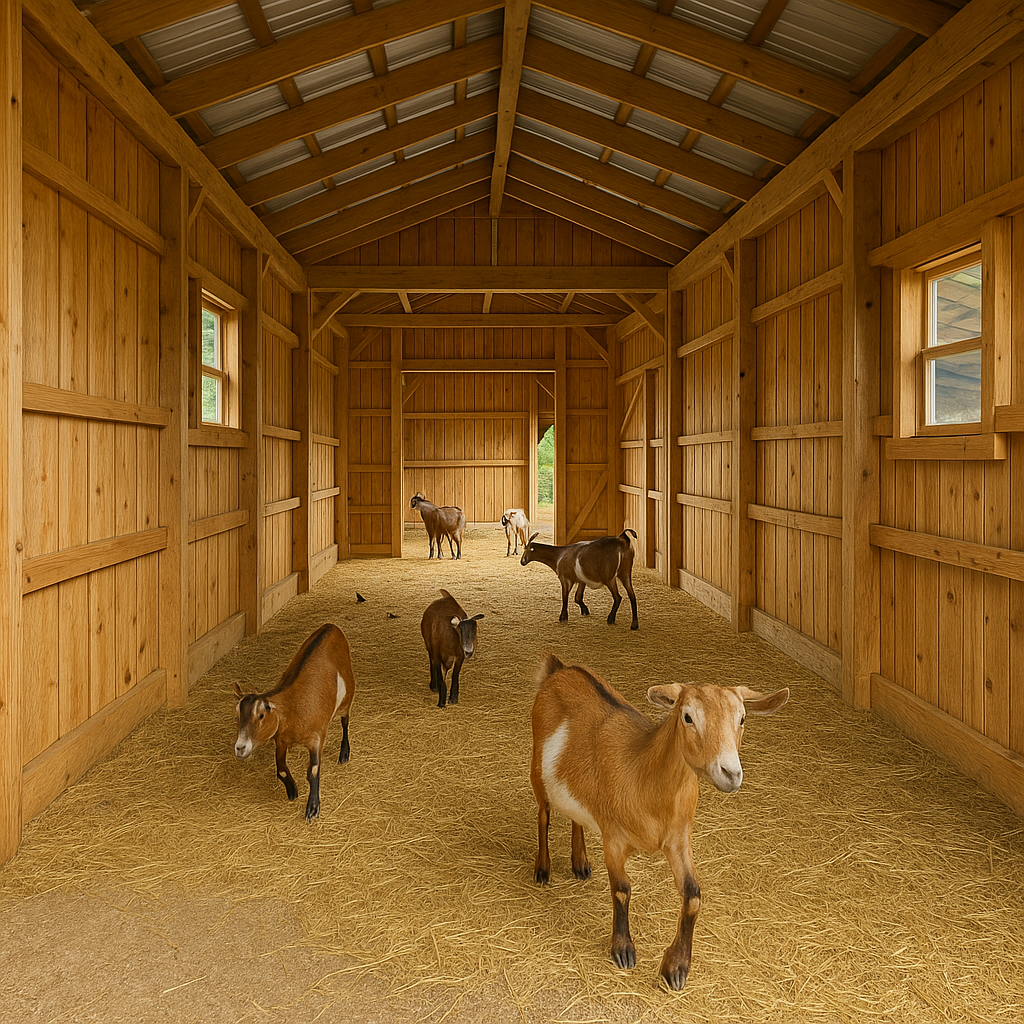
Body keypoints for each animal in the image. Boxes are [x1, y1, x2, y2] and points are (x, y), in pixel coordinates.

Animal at [233, 623, 355, 821]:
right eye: (237, 716)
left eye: (261, 715)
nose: (240, 748)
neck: (291, 709)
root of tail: (332, 627)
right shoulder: (281, 740)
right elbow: (281, 769)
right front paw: (292, 790)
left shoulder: (316, 738)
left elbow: (313, 771)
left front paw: (312, 808)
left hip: (347, 697)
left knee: (345, 721)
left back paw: (344, 752)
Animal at [530, 654, 788, 990]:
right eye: (688, 717)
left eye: (742, 719)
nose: (731, 773)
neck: (643, 772)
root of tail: (560, 669)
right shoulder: (614, 838)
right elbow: (622, 889)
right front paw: (623, 950)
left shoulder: (678, 838)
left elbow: (693, 895)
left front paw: (676, 968)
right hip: (536, 765)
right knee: (544, 814)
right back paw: (542, 869)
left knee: (575, 814)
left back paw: (580, 863)